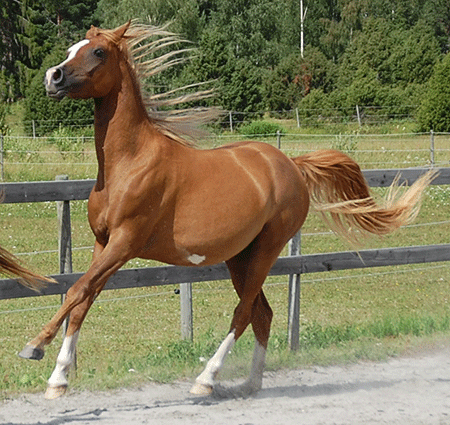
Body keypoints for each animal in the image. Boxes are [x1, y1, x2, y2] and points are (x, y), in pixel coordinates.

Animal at [18, 19, 436, 398]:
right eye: (72, 48)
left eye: (99, 52)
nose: (52, 77)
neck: (130, 162)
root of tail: (291, 164)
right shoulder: (103, 243)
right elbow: (83, 299)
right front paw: (58, 379)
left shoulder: (125, 242)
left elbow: (77, 290)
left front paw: (35, 348)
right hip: (240, 256)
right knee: (262, 314)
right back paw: (250, 384)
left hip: (266, 250)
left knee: (244, 312)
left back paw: (206, 380)